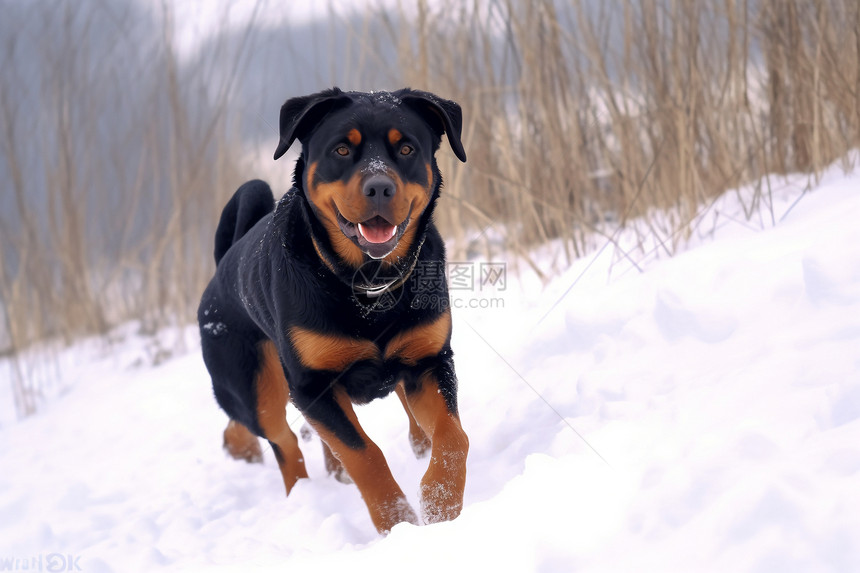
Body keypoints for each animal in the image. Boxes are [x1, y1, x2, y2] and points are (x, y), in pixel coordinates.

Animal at [198, 87, 470, 536]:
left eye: (407, 148)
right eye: (342, 149)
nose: (379, 188)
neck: (367, 283)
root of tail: (223, 265)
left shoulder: (429, 359)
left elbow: (453, 437)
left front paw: (440, 503)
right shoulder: (312, 385)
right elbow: (365, 454)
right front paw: (396, 523)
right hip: (256, 383)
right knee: (279, 438)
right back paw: (277, 477)